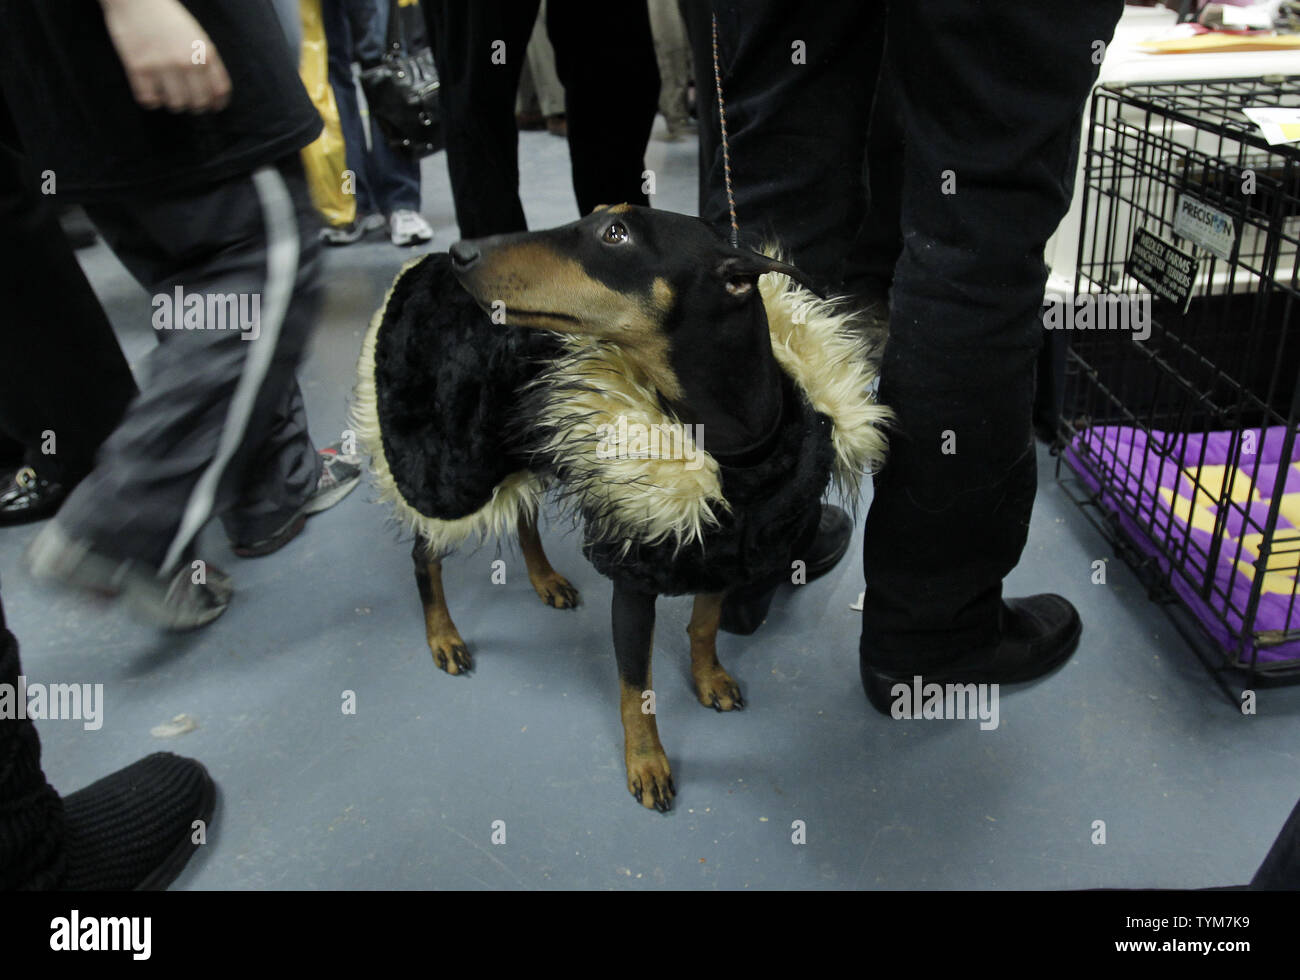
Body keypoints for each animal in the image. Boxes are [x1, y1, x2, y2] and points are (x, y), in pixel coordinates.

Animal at [351, 206, 889, 811]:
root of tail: (416, 272)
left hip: (517, 441)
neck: (724, 446)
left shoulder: (720, 549)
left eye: (617, 235)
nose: (459, 253)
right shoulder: (634, 580)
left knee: (522, 514)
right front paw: (647, 764)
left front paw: (709, 678)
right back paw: (443, 636)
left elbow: (704, 626)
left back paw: (545, 580)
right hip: (447, 462)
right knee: (425, 553)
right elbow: (637, 687)